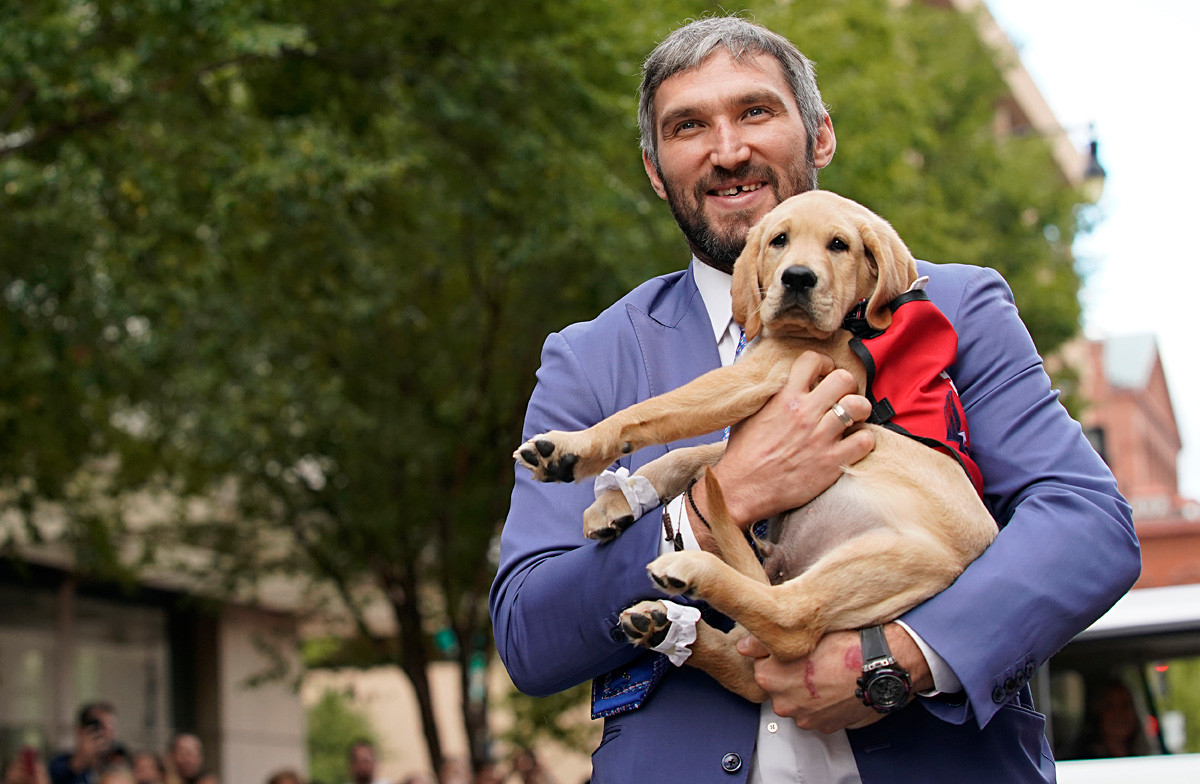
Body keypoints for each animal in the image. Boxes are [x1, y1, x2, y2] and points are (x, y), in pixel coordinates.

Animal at [513, 188, 993, 696]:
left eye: (839, 245)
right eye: (779, 240)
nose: (798, 278)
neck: (851, 322)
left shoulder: (754, 378)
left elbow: (653, 412)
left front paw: (571, 447)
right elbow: (693, 454)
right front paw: (619, 499)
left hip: (890, 556)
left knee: (791, 621)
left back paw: (692, 573)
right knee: (750, 665)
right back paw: (664, 627)